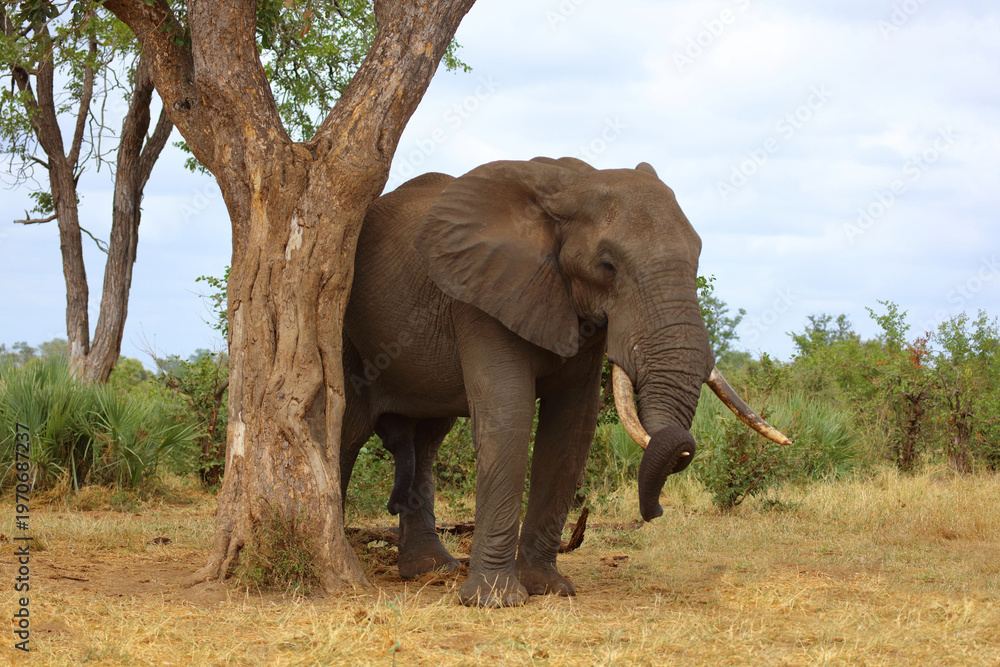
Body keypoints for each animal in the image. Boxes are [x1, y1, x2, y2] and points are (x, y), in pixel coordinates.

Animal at [339, 157, 789, 607]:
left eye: (697, 255)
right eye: (607, 265)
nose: (654, 513)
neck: (570, 185)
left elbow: (571, 429)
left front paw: (549, 589)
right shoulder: (483, 295)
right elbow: (510, 418)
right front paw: (495, 602)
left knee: (428, 440)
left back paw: (431, 570)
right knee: (350, 431)